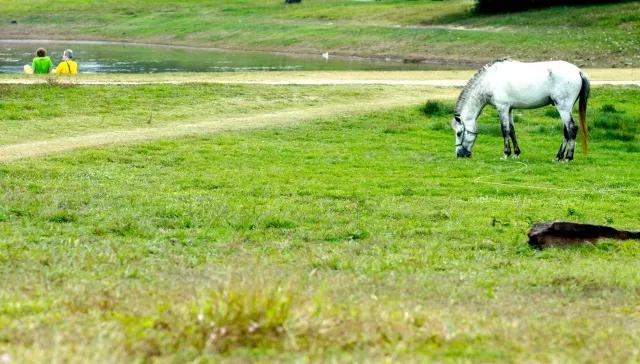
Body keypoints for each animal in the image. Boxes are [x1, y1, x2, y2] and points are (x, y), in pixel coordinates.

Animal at [450, 58, 592, 161]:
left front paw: (506, 154)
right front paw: (516, 153)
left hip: (563, 107)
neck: (489, 81)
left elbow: (505, 130)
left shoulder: (502, 108)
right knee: (566, 131)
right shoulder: (509, 109)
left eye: (458, 133)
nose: (459, 154)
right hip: (565, 109)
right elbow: (512, 130)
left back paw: (568, 157)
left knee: (572, 128)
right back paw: (558, 157)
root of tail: (578, 71)